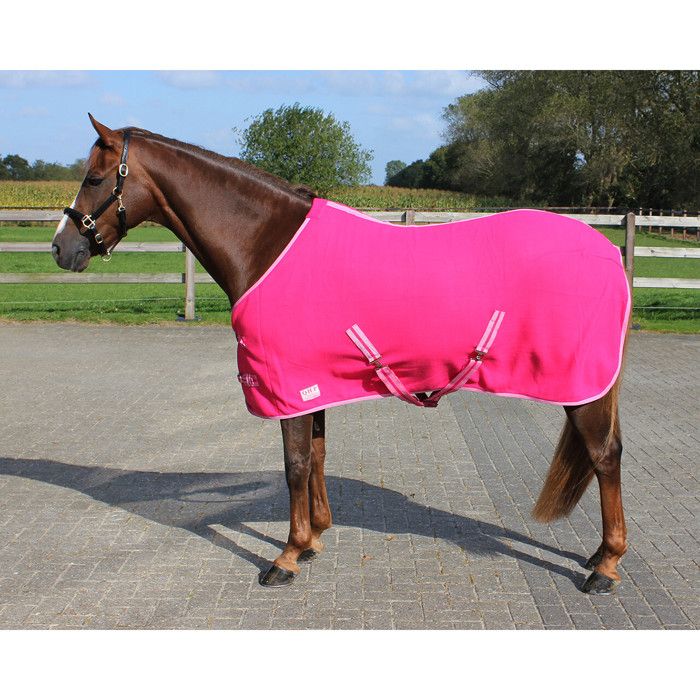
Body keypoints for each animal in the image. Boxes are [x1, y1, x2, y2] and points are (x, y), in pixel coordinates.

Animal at [51, 115, 629, 595]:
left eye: (95, 179)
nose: (61, 249)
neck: (267, 243)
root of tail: (608, 251)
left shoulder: (284, 385)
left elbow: (294, 465)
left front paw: (285, 557)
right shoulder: (312, 384)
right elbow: (317, 457)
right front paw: (312, 541)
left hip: (581, 385)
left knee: (605, 456)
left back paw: (606, 566)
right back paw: (597, 556)